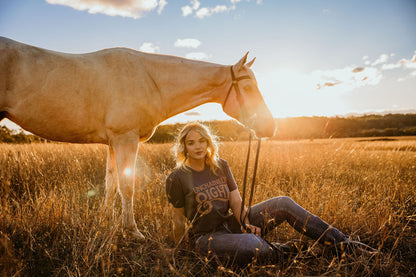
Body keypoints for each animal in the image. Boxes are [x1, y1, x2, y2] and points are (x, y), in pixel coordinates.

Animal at [0, 36, 276, 239]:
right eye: (248, 87)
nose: (270, 127)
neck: (150, 78)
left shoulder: (113, 143)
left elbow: (111, 184)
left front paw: (103, 221)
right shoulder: (125, 139)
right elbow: (127, 186)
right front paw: (132, 231)